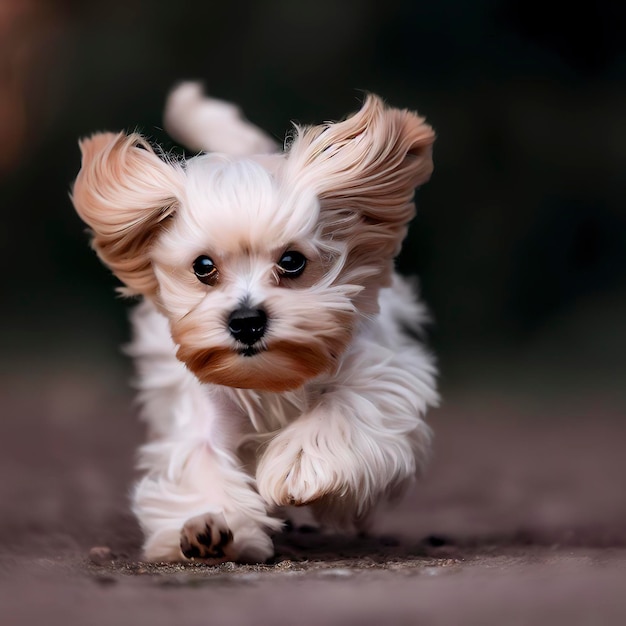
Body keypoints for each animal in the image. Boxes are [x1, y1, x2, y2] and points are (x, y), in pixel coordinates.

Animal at [70, 83, 436, 560]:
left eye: (292, 261)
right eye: (203, 266)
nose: (246, 320)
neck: (269, 377)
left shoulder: (382, 372)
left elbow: (346, 405)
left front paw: (299, 466)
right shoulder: (206, 413)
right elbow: (202, 460)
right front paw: (212, 527)